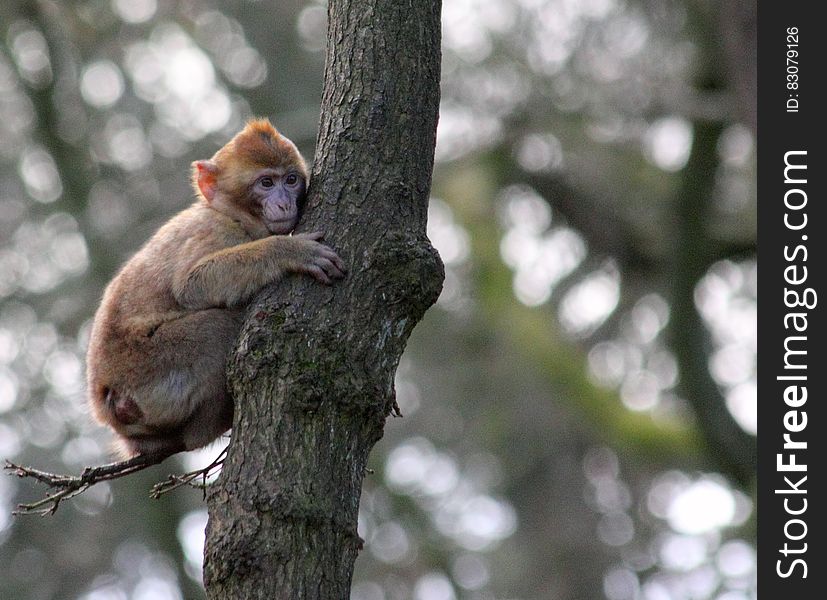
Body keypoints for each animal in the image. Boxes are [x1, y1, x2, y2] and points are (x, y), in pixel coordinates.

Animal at [84, 118, 342, 460]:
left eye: (290, 180)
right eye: (266, 183)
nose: (284, 202)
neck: (231, 214)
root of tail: (106, 403)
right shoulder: (216, 232)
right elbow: (191, 285)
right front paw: (290, 251)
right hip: (147, 368)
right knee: (218, 327)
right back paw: (209, 427)